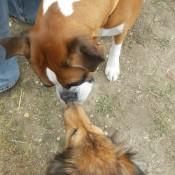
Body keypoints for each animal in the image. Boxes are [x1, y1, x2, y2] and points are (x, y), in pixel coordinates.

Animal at [0, 0, 143, 102]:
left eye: (77, 81)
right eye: (48, 85)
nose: (66, 98)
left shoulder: (123, 26)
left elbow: (116, 46)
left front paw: (112, 67)